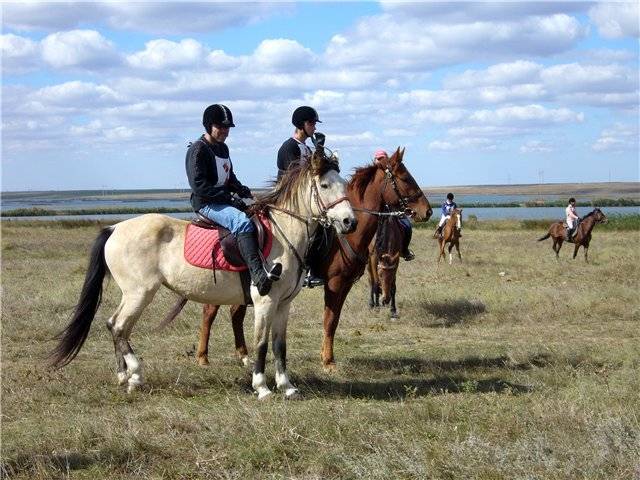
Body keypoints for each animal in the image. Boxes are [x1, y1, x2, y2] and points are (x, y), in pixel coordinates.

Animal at [50, 148, 358, 400]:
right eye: (325, 185)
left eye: (344, 184)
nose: (349, 222)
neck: (284, 232)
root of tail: (114, 228)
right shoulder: (265, 301)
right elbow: (260, 344)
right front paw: (262, 387)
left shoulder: (283, 305)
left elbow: (279, 345)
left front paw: (287, 387)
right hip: (140, 293)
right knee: (119, 326)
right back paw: (135, 374)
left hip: (133, 294)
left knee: (113, 324)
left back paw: (123, 376)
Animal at [192, 148, 432, 370]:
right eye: (405, 178)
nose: (427, 211)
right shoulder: (334, 283)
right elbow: (329, 320)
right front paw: (328, 361)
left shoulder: (345, 284)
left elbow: (333, 320)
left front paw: (326, 356)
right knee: (209, 312)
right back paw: (203, 357)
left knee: (235, 313)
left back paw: (243, 356)